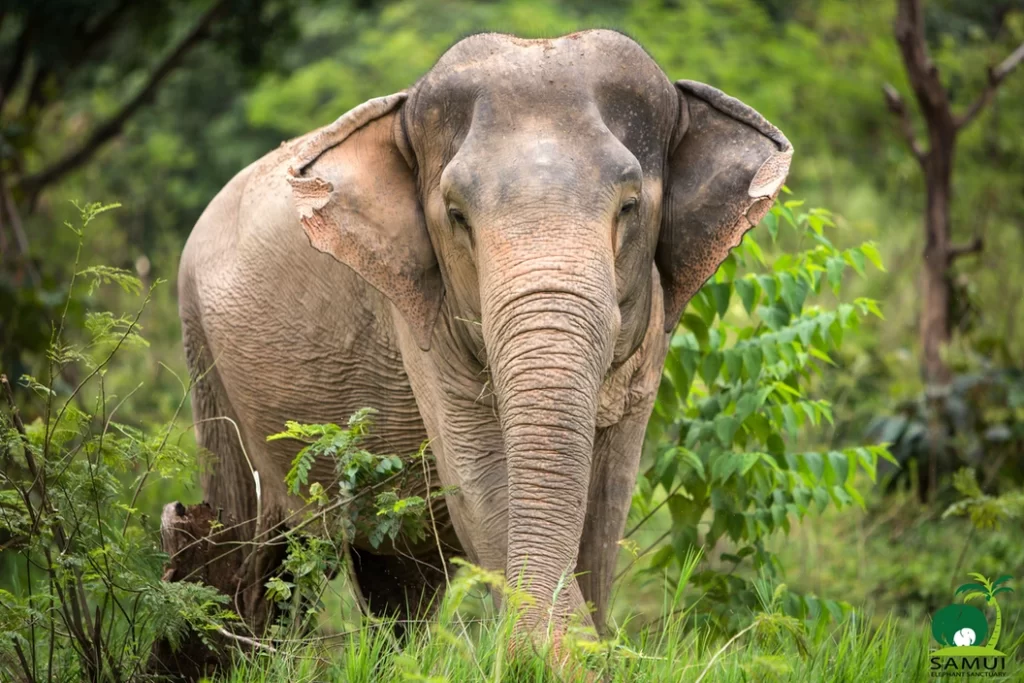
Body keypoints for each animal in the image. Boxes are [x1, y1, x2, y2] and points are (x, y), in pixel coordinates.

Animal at [176, 29, 790, 651]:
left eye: (630, 206)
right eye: (456, 216)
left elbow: (608, 497)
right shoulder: (419, 314)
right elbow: (480, 478)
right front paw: (553, 654)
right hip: (200, 345)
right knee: (253, 543)